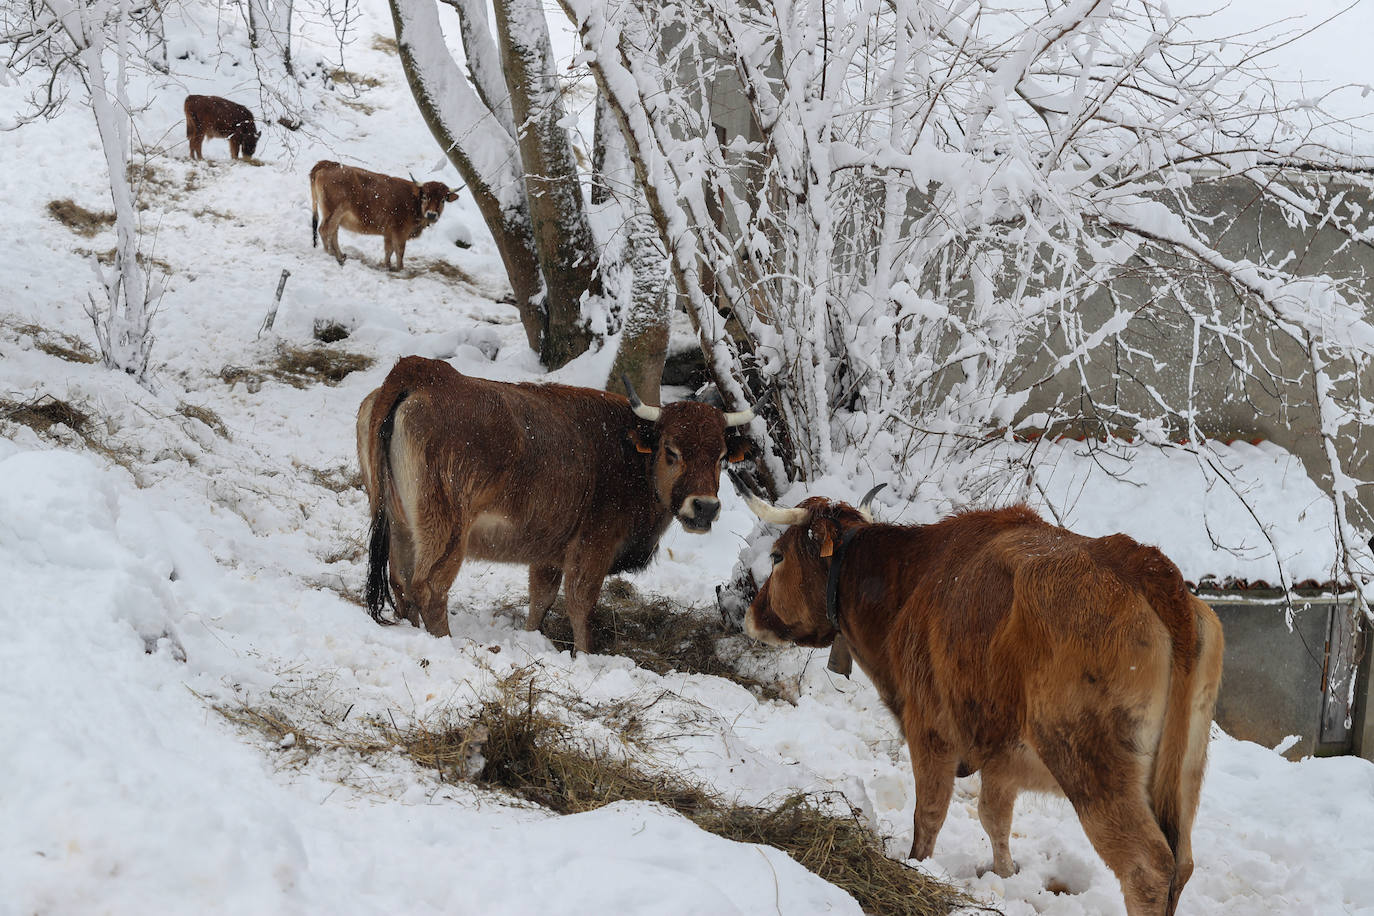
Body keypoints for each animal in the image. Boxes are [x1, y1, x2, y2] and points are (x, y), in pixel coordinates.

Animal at [309, 161, 458, 270]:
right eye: (425, 196)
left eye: (443, 200)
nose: (432, 214)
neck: (414, 201)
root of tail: (329, 164)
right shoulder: (400, 232)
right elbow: (399, 251)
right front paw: (400, 269)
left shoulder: (389, 233)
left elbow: (389, 250)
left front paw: (387, 265)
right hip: (333, 212)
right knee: (324, 230)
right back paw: (331, 255)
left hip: (335, 216)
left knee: (333, 232)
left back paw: (340, 255)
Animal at [354, 354, 758, 656]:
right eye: (671, 451)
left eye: (721, 456)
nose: (704, 507)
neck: (630, 449)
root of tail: (421, 374)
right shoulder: (592, 549)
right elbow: (580, 604)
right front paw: (584, 654)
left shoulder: (548, 554)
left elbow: (541, 598)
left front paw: (532, 637)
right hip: (447, 534)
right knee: (429, 588)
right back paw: (446, 643)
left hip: (400, 525)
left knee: (400, 582)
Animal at [741, 483, 1225, 911]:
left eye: (777, 556)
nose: (751, 616)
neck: (909, 580)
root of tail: (1146, 563)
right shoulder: (1001, 756)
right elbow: (994, 817)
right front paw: (1005, 876)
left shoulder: (929, 728)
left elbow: (929, 814)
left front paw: (918, 868)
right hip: (1185, 773)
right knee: (1182, 864)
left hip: (1092, 764)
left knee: (1148, 868)